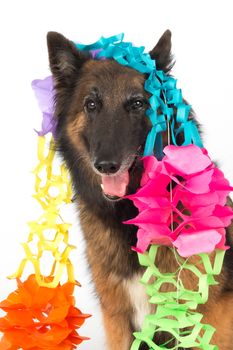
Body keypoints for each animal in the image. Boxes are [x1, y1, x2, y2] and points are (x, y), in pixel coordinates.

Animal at [46, 30, 233, 350]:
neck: (132, 214)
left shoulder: (199, 323)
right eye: (91, 105)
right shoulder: (117, 319)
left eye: (137, 104)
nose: (106, 165)